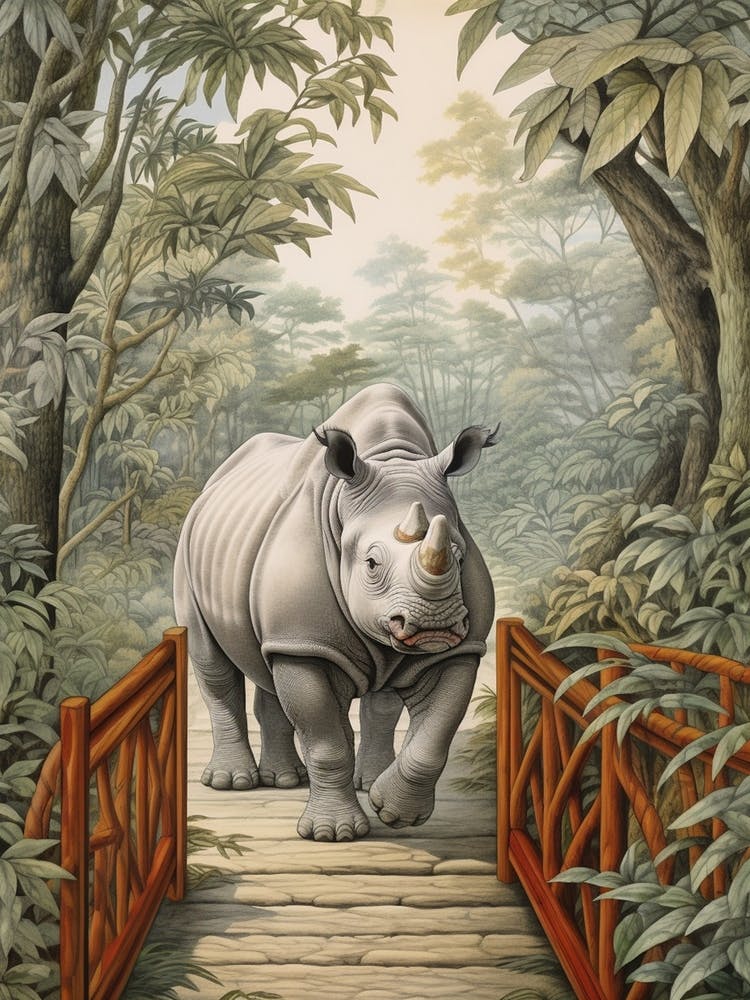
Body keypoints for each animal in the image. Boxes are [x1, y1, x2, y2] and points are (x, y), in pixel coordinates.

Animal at [174, 383, 497, 841]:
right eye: (371, 564)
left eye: (458, 554)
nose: (434, 624)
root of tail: (216, 480)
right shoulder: (305, 642)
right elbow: (326, 740)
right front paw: (334, 833)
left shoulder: (460, 647)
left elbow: (435, 734)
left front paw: (395, 813)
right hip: (190, 550)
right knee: (214, 664)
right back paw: (232, 783)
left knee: (280, 667)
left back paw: (299, 780)